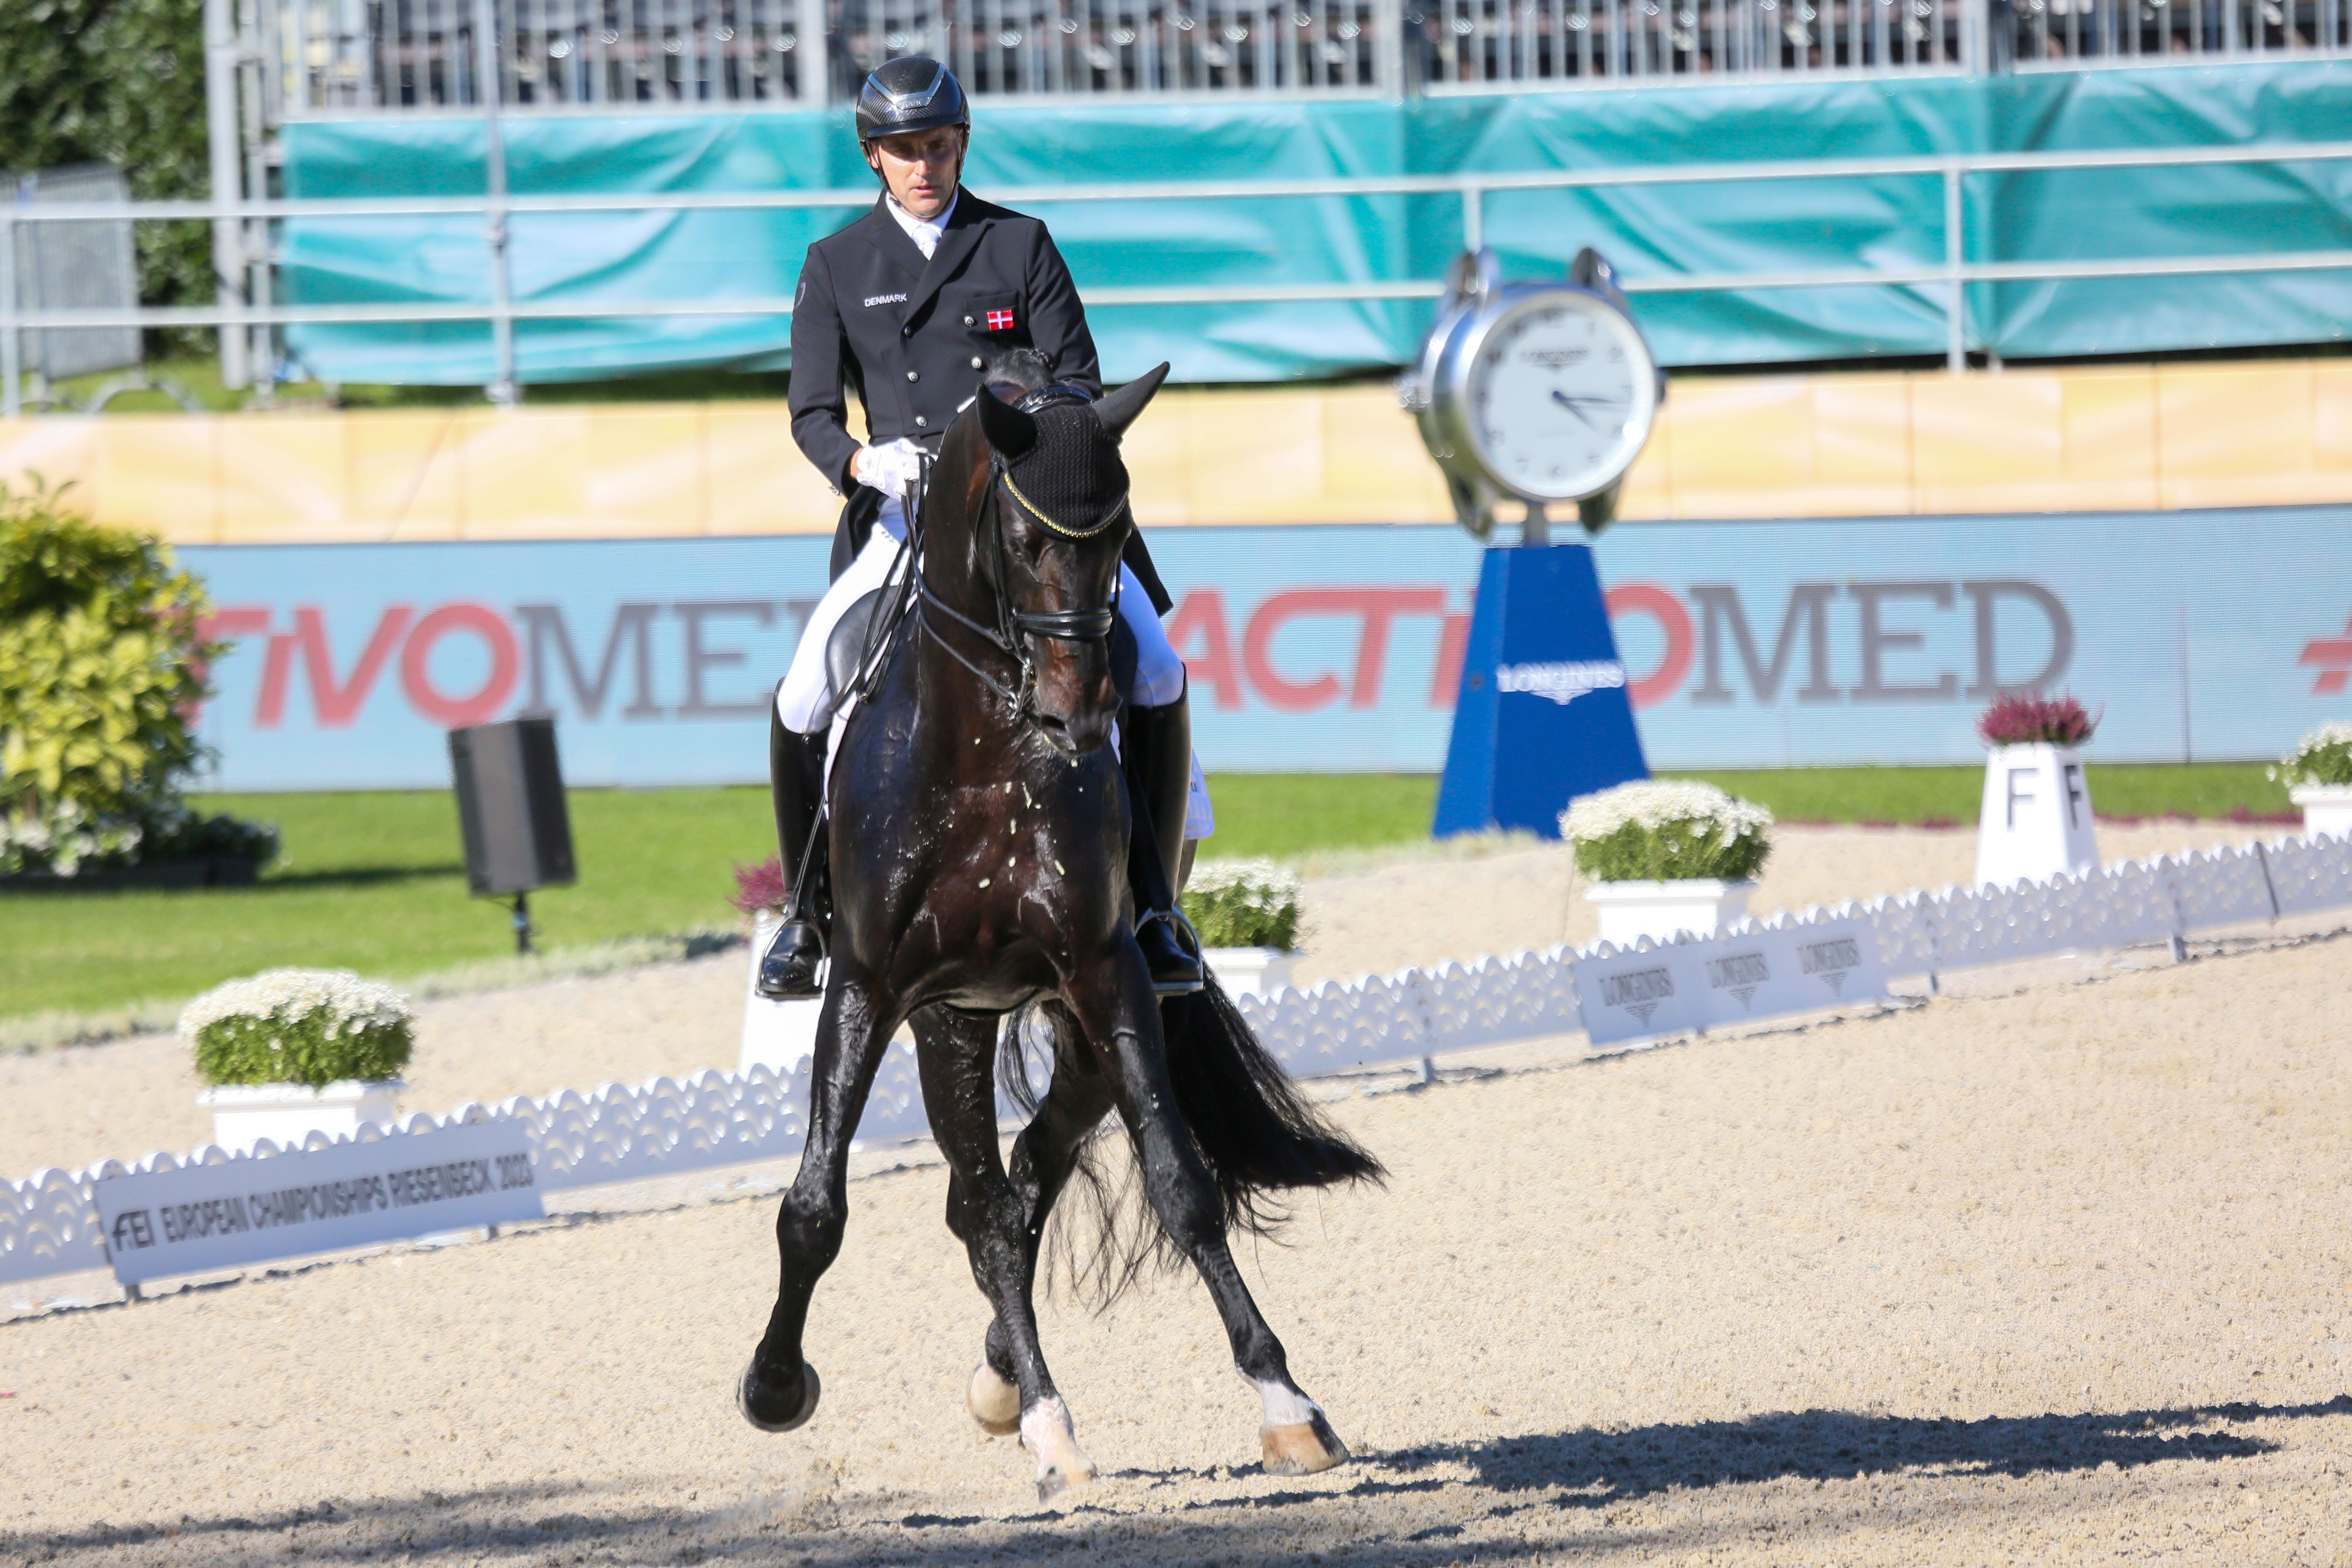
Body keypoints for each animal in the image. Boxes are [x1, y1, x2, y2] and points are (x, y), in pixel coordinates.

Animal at [734, 362, 1373, 1504]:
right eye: (1023, 539)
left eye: (1119, 534)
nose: (1079, 716)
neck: (982, 752)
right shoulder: (865, 985)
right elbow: (814, 1206)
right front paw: (773, 1385)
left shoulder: (1105, 971)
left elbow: (1181, 1184)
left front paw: (1287, 1404)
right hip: (947, 1016)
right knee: (984, 1199)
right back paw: (1030, 1405)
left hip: (1071, 1020)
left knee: (1027, 1172)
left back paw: (1012, 1384)